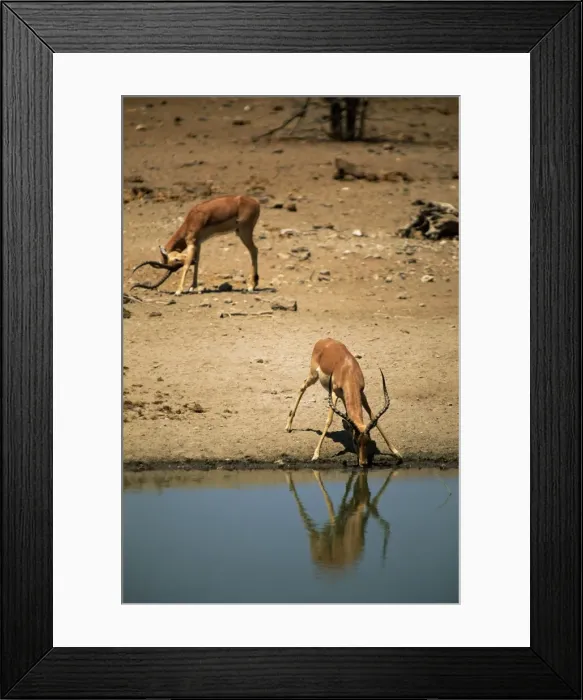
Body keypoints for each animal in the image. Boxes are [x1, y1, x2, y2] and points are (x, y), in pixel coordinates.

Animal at [130, 195, 261, 296]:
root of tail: (255, 202)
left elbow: (187, 265)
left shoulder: (192, 243)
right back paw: (253, 284)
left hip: (243, 231)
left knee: (254, 250)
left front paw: (179, 291)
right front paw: (193, 287)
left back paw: (251, 286)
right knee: (254, 251)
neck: (191, 219)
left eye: (176, 260)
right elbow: (197, 262)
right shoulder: (198, 242)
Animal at [285, 338, 403, 467]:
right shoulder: (334, 394)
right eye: (356, 441)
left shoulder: (362, 394)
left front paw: (396, 452)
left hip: (342, 396)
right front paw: (316, 455)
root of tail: (324, 340)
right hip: (313, 376)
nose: (363, 463)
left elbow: (373, 417)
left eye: (367, 441)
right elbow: (329, 420)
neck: (348, 371)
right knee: (302, 387)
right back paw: (288, 426)